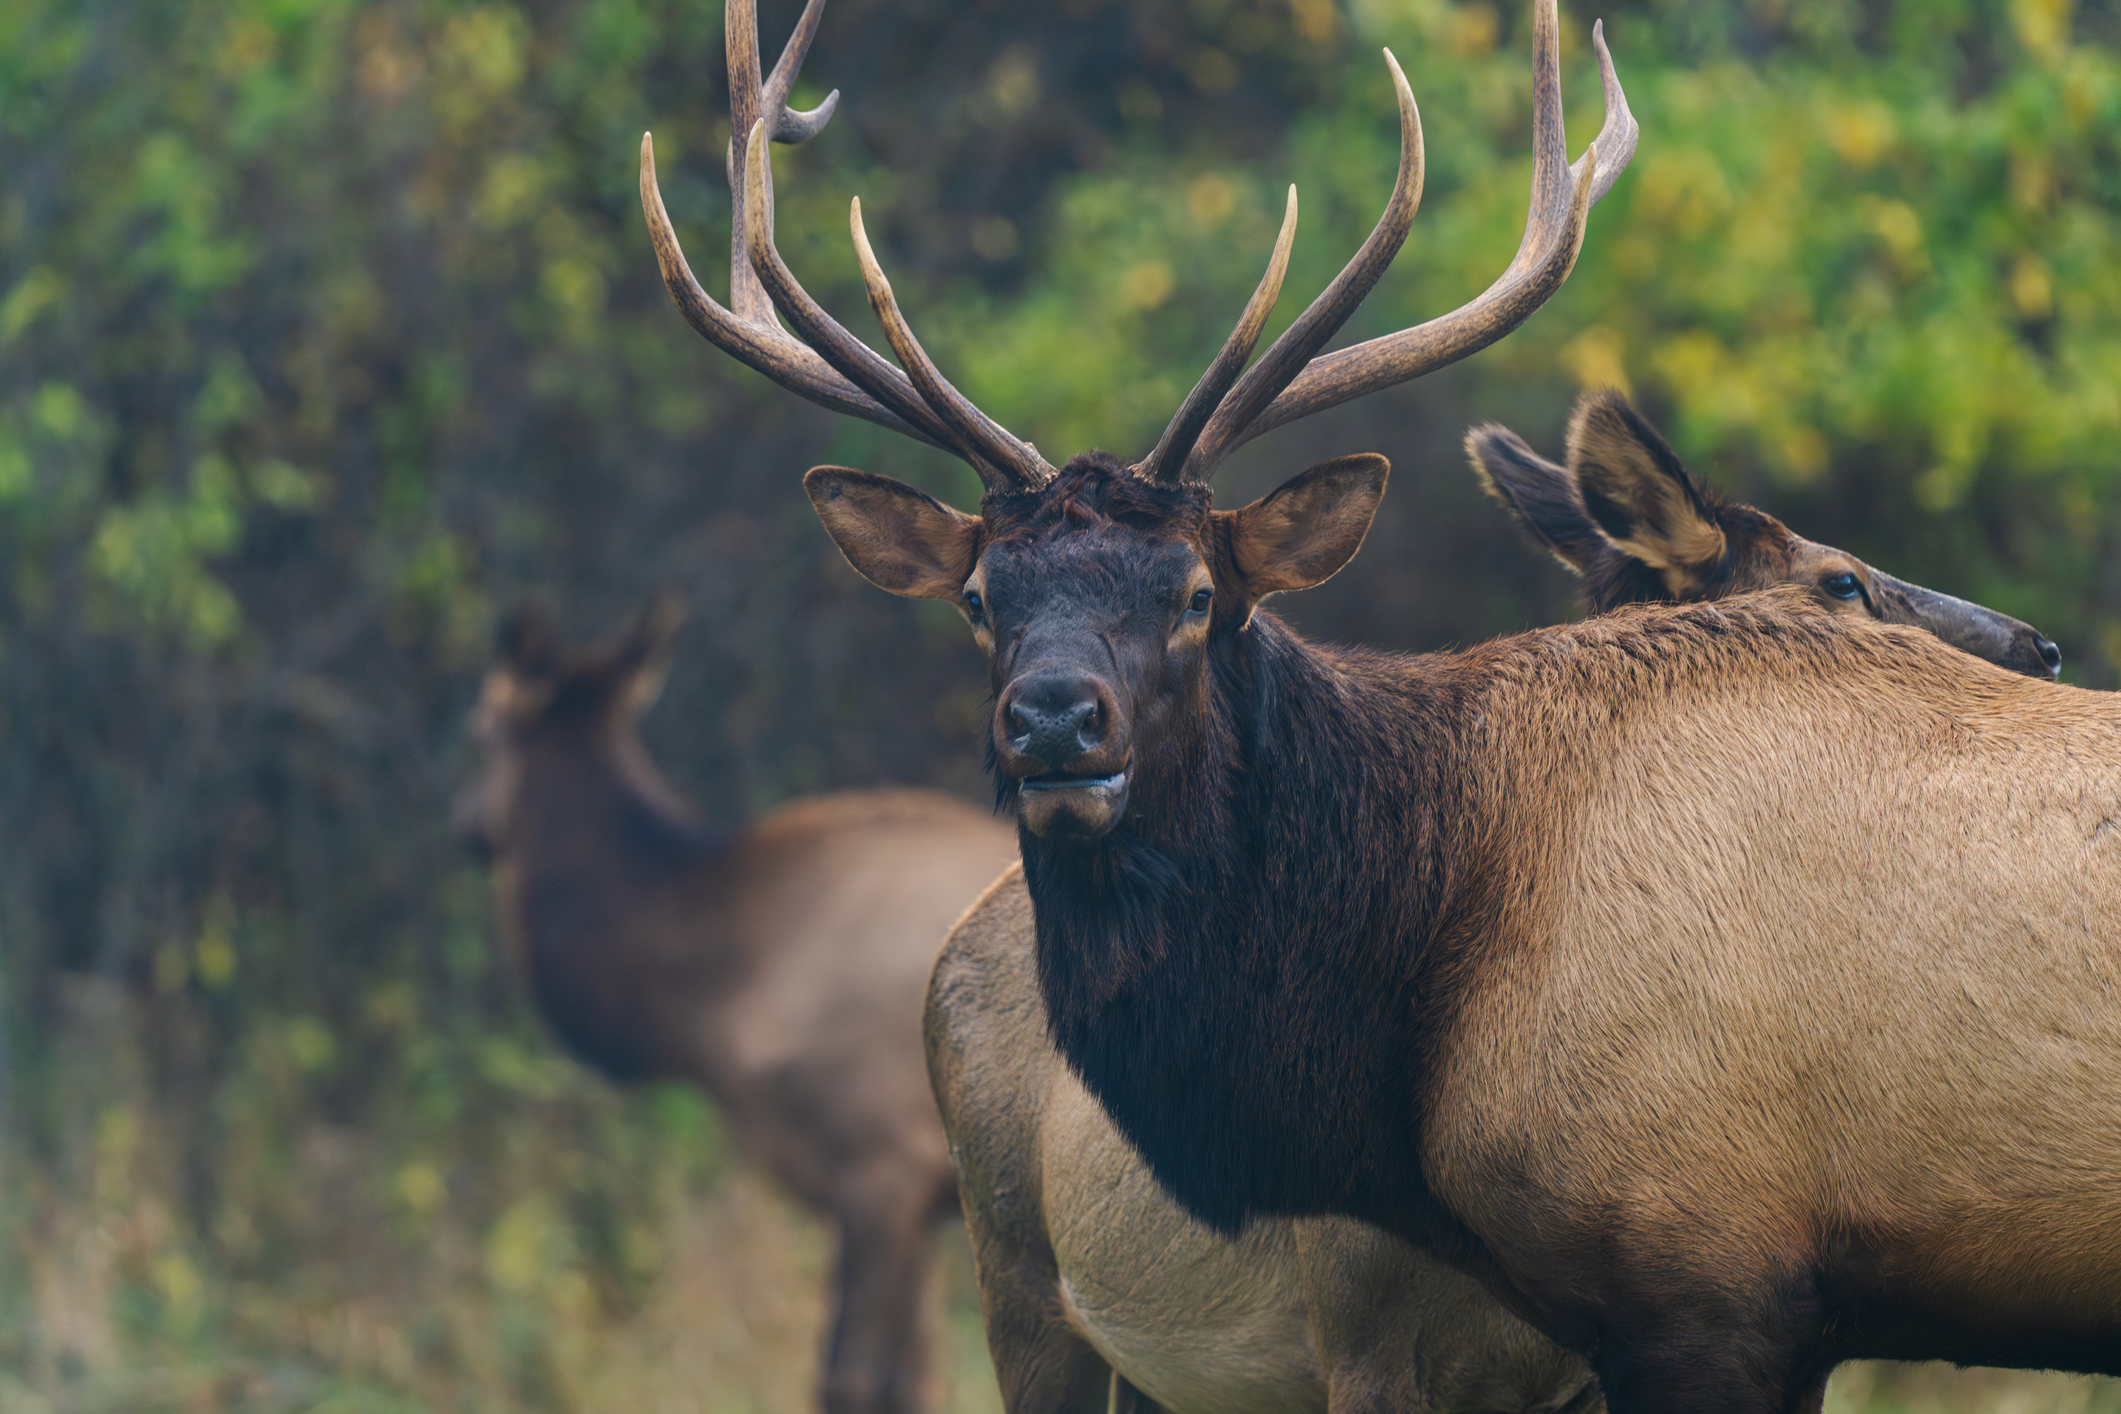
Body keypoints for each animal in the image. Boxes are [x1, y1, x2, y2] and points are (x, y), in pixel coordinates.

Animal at [451, 595, 1018, 1414]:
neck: (715, 995)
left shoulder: (884, 1166)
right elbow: (917, 1381)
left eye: (476, 732)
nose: (462, 823)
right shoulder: (917, 1199)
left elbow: (850, 1380)